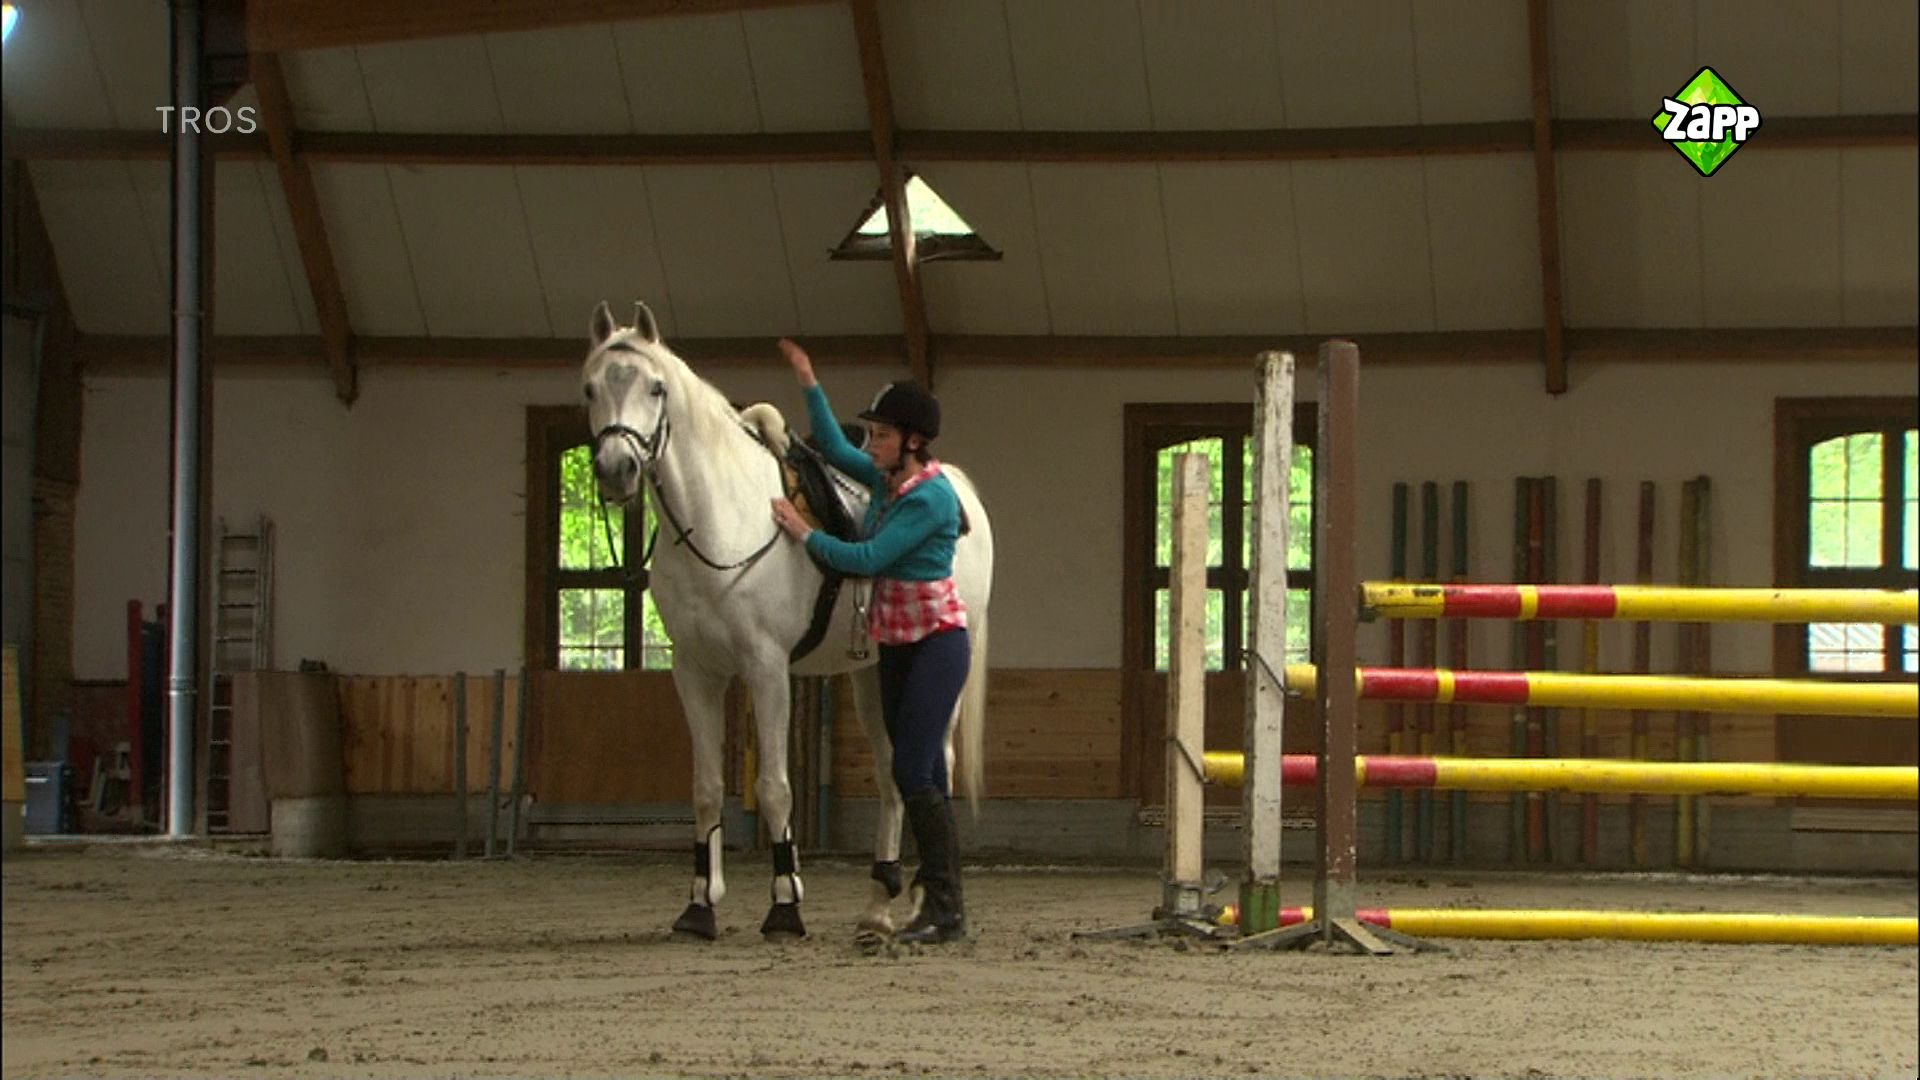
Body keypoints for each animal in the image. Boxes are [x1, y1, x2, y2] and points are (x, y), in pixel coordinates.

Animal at [579, 300, 994, 941]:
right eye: (591, 387)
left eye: (656, 387)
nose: (616, 468)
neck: (720, 521)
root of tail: (961, 492)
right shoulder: (695, 673)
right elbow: (705, 790)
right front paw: (699, 907)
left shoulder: (766, 669)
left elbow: (774, 789)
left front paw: (784, 905)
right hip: (871, 676)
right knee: (892, 773)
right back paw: (879, 903)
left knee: (933, 767)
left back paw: (924, 901)